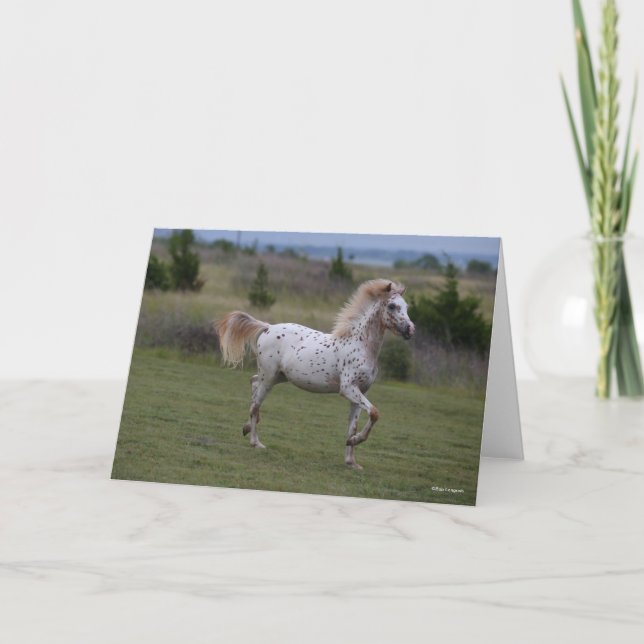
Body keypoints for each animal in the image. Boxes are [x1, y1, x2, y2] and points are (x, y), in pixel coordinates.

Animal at [215, 279, 415, 469]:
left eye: (406, 307)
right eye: (392, 306)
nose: (410, 330)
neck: (360, 346)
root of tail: (268, 327)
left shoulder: (360, 392)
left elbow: (353, 426)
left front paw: (351, 460)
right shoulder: (348, 389)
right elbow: (374, 413)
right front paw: (354, 442)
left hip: (278, 376)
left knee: (253, 383)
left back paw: (247, 428)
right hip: (269, 377)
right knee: (255, 404)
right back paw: (256, 442)